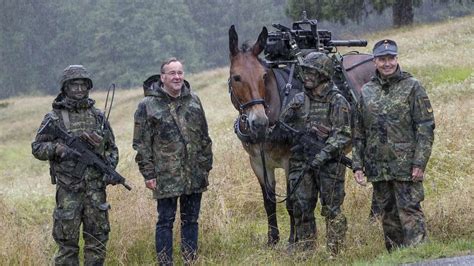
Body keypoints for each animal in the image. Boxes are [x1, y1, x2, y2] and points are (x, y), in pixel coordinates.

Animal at [228, 25, 376, 245]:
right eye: (236, 77)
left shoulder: (291, 160)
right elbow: (269, 201)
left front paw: (293, 239)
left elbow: (292, 200)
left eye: (264, 76)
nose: (259, 123)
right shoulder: (257, 164)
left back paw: (375, 216)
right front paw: (273, 240)